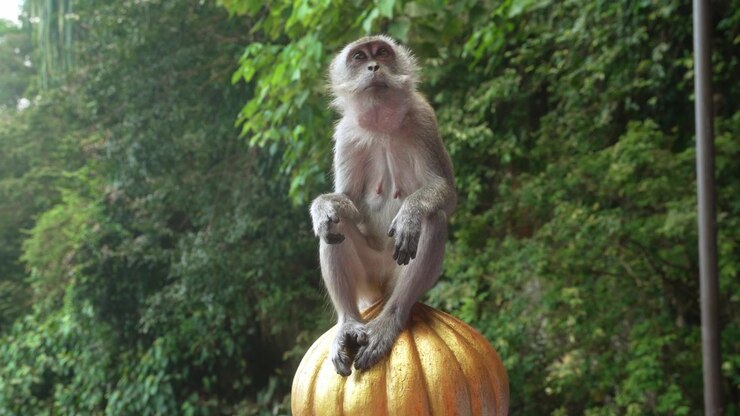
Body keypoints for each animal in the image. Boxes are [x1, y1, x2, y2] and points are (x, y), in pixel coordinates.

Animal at [310, 35, 456, 376]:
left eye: (382, 53)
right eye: (359, 57)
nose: (374, 67)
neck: (382, 126)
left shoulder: (424, 117)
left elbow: (446, 194)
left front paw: (411, 214)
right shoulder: (346, 134)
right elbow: (347, 202)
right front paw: (322, 207)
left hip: (393, 273)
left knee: (434, 219)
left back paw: (391, 319)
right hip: (368, 276)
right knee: (335, 227)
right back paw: (348, 323)